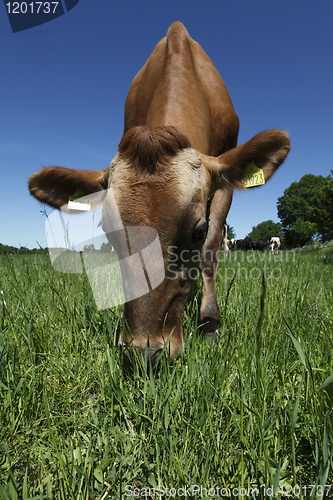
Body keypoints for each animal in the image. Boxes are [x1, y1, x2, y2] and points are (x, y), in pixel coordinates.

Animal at [27, 22, 288, 364]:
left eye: (198, 230)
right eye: (108, 231)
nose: (144, 350)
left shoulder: (223, 185)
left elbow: (210, 252)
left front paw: (210, 324)